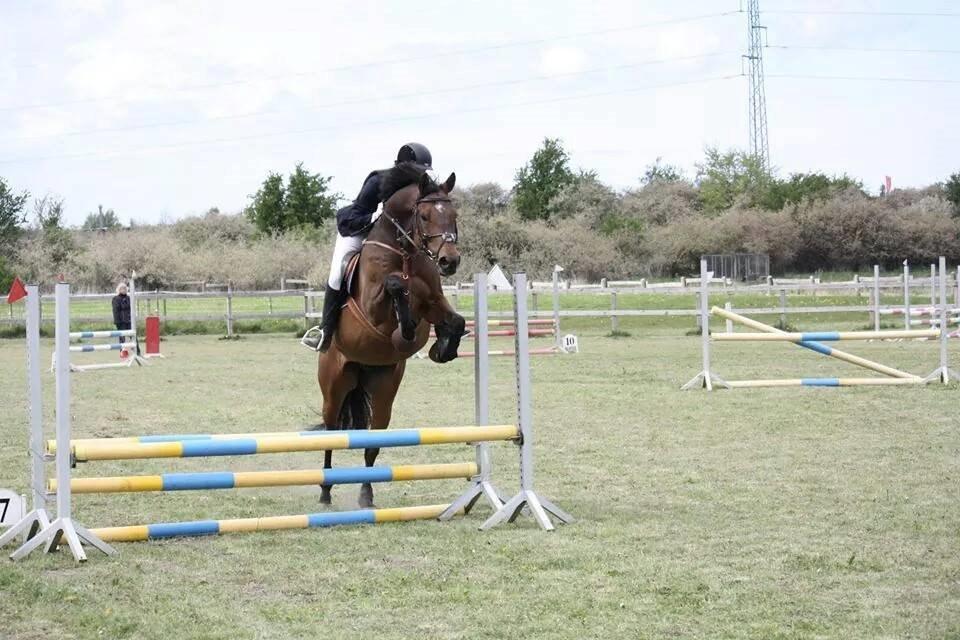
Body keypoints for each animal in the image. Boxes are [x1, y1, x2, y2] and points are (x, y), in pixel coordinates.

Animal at [316, 168, 464, 508]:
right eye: (424, 216)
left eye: (454, 215)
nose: (449, 260)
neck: (405, 251)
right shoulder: (372, 305)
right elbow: (396, 286)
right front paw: (405, 329)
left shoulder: (434, 300)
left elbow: (455, 320)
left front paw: (443, 347)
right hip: (333, 388)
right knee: (330, 433)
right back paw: (326, 491)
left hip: (383, 390)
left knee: (374, 440)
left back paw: (366, 494)